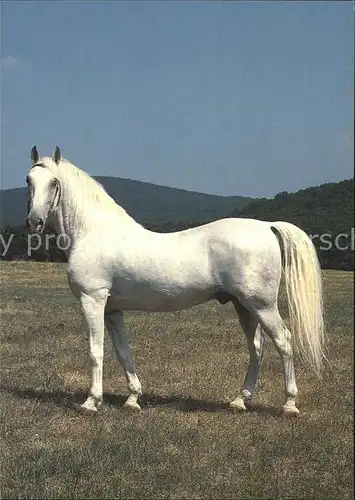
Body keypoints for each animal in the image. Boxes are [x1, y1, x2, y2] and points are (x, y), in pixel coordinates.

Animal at [24, 146, 326, 416]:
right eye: (28, 180)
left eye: (54, 182)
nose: (33, 222)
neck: (93, 232)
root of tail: (267, 226)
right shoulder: (112, 310)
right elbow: (123, 352)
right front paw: (133, 398)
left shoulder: (93, 301)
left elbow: (95, 351)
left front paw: (91, 402)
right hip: (244, 306)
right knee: (257, 349)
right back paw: (239, 401)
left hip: (262, 305)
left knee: (284, 342)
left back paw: (289, 405)